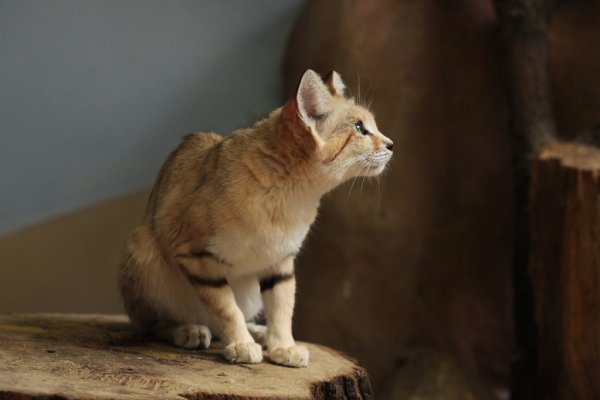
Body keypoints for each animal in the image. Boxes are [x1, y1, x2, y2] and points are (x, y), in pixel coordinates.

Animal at [119, 69, 396, 366]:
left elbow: (282, 307)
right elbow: (227, 308)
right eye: (359, 128)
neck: (294, 195)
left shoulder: (279, 261)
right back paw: (188, 330)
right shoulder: (197, 256)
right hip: (142, 250)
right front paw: (241, 344)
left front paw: (283, 346)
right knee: (152, 325)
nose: (392, 145)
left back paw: (257, 332)